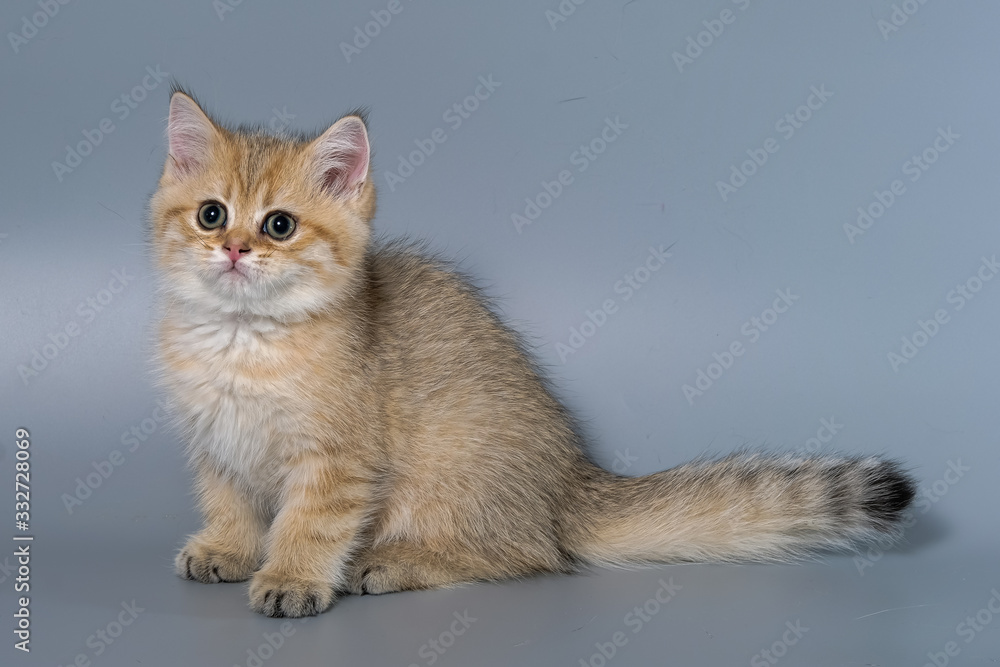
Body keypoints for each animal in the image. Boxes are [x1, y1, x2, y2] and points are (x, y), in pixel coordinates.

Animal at [150, 90, 916, 620]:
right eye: (212, 214)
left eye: (279, 224)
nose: (234, 248)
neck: (241, 340)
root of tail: (571, 481)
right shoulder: (213, 443)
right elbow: (231, 500)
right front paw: (231, 547)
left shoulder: (338, 460)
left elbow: (310, 523)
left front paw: (292, 576)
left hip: (454, 470)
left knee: (528, 554)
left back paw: (393, 562)